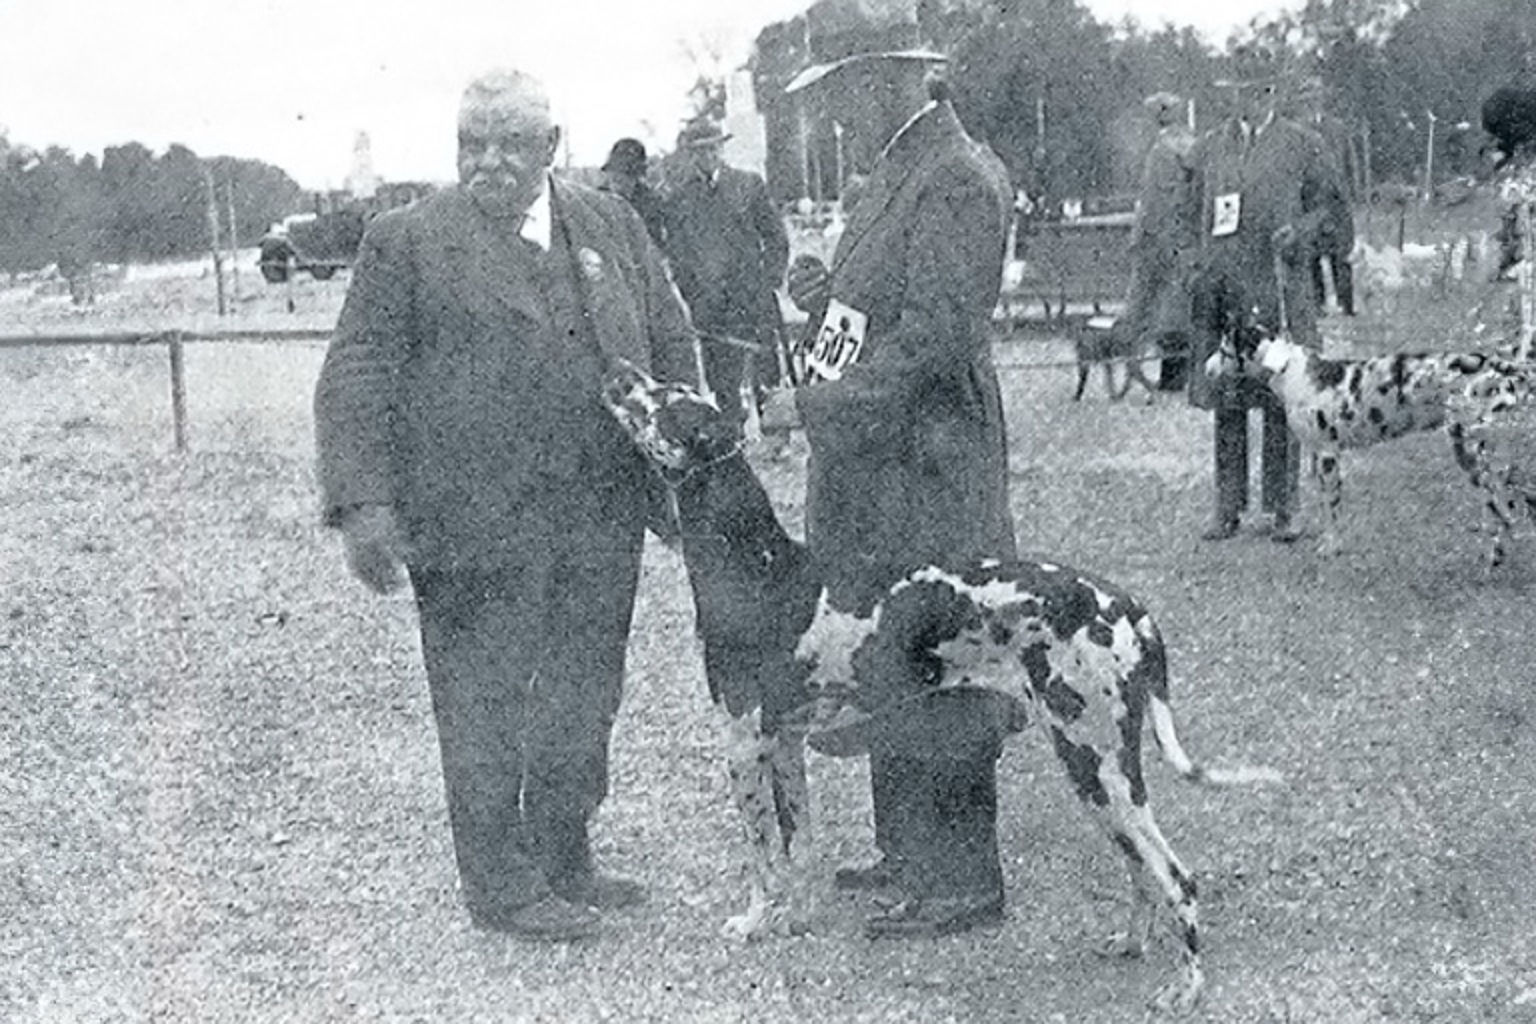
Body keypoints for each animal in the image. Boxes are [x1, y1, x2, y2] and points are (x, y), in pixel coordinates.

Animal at [599, 360, 1284, 1019]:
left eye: (663, 399)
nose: (619, 371)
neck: (755, 568)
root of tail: (1129, 608)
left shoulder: (742, 744)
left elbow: (764, 855)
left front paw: (754, 922)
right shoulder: (784, 744)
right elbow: (801, 847)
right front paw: (796, 918)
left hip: (1096, 764)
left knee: (1177, 878)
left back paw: (1187, 989)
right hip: (1099, 773)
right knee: (1142, 869)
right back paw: (1133, 942)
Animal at [1204, 333, 1536, 564]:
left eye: (1224, 349)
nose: (1205, 368)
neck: (1289, 369)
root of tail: (1497, 366)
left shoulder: (1328, 456)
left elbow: (1331, 509)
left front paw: (1330, 548)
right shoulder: (1317, 456)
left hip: (1481, 458)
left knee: (1505, 511)